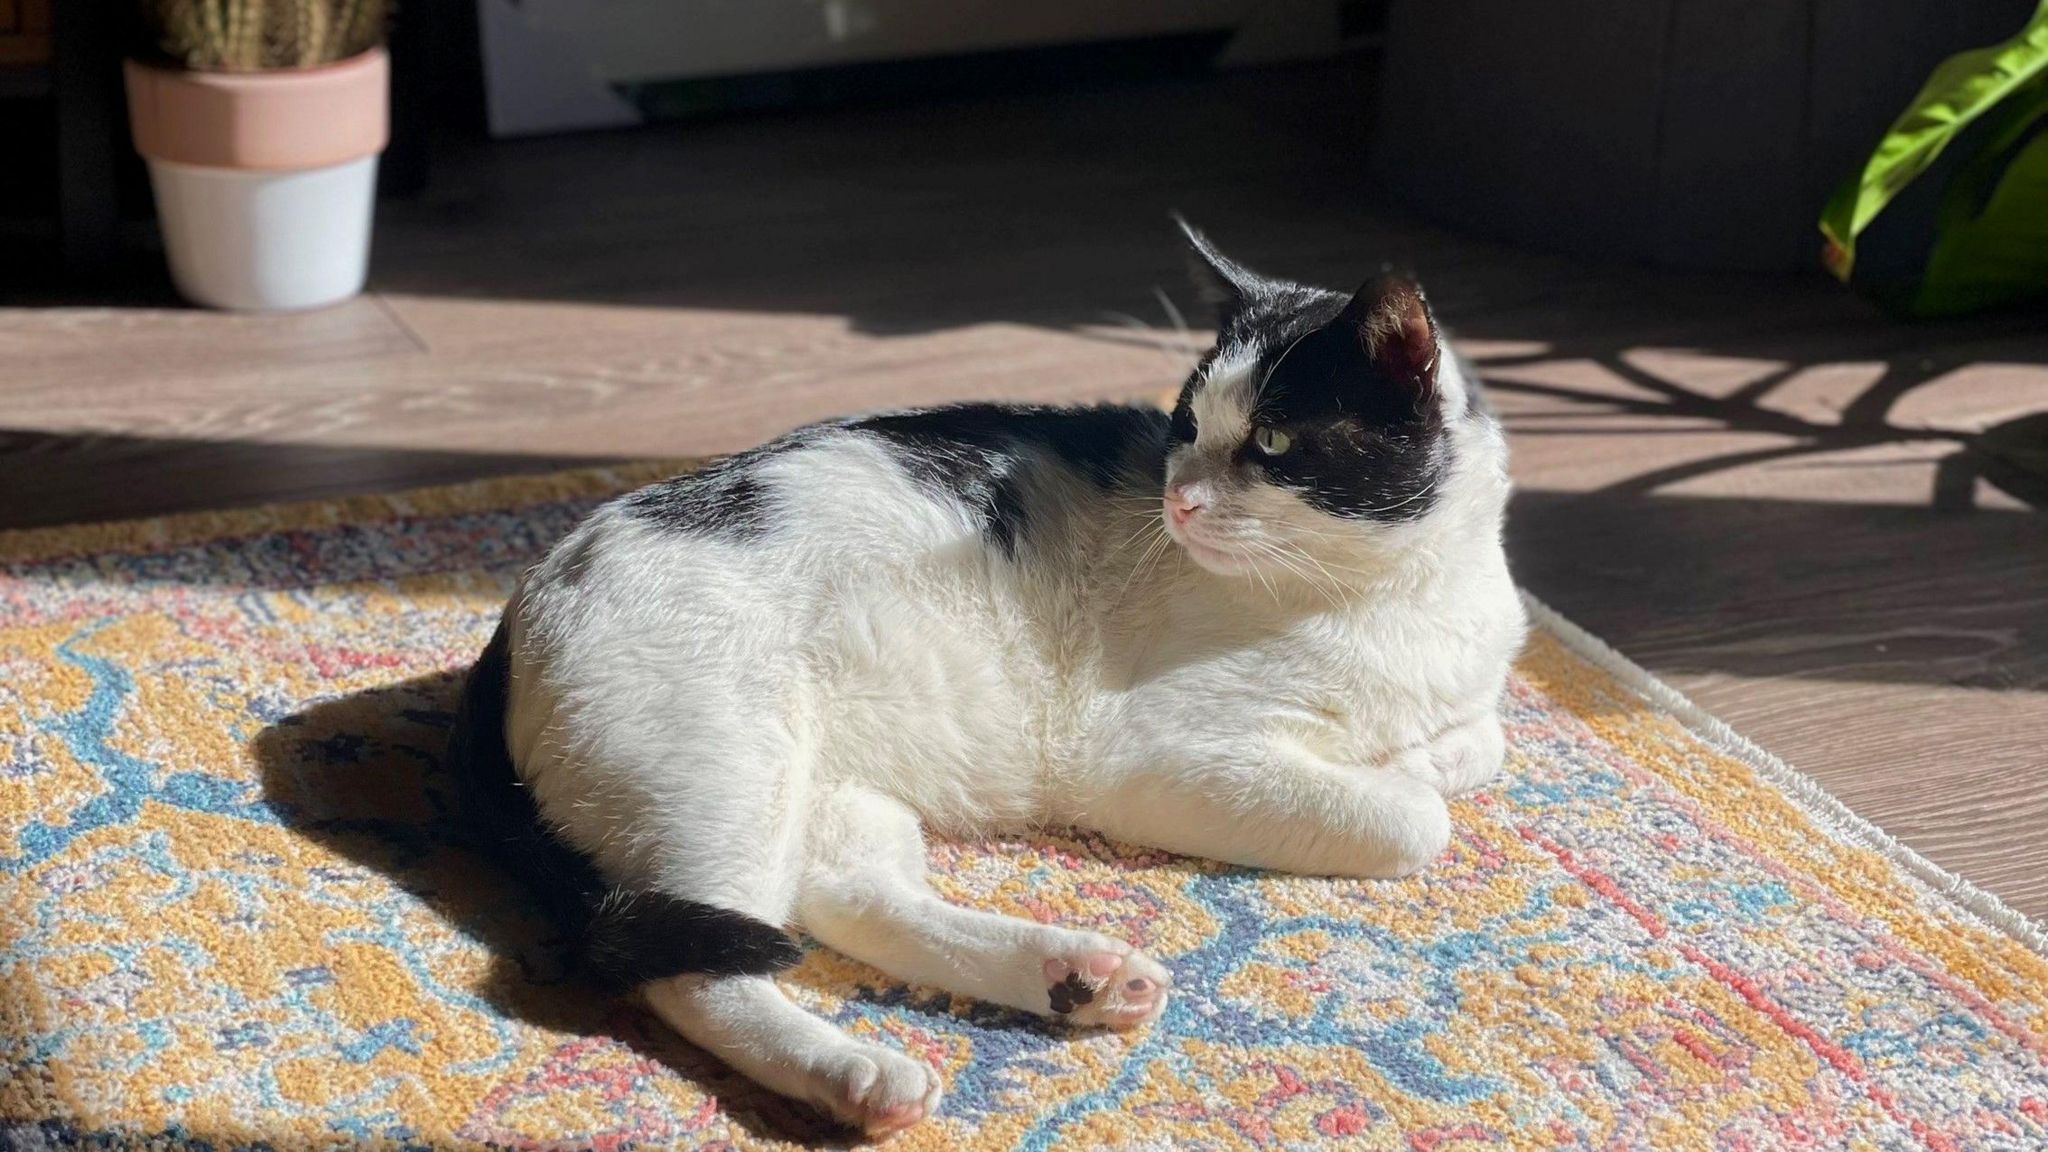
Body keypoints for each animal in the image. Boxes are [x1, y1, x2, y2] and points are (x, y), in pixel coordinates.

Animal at [456, 224, 1531, 1131]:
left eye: (1271, 442)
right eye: (1186, 426)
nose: (1179, 501)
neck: (1388, 598)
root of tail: (516, 614)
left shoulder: (1471, 682)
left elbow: (1484, 737)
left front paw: (1421, 753)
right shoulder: (1152, 757)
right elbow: (1415, 824)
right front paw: (1398, 773)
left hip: (826, 796)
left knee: (846, 901)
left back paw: (1075, 975)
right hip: (725, 778)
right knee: (696, 969)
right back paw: (858, 1074)